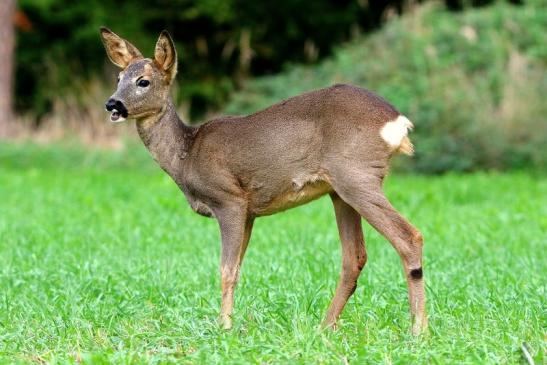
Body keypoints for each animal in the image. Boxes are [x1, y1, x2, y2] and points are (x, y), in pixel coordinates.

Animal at [100, 28, 430, 334]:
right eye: (118, 77)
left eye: (143, 81)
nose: (112, 104)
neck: (186, 153)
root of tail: (397, 122)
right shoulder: (250, 212)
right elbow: (237, 268)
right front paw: (228, 322)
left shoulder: (230, 199)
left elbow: (226, 270)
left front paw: (224, 327)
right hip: (340, 190)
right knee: (354, 256)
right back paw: (324, 327)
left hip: (356, 174)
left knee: (409, 237)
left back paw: (418, 329)